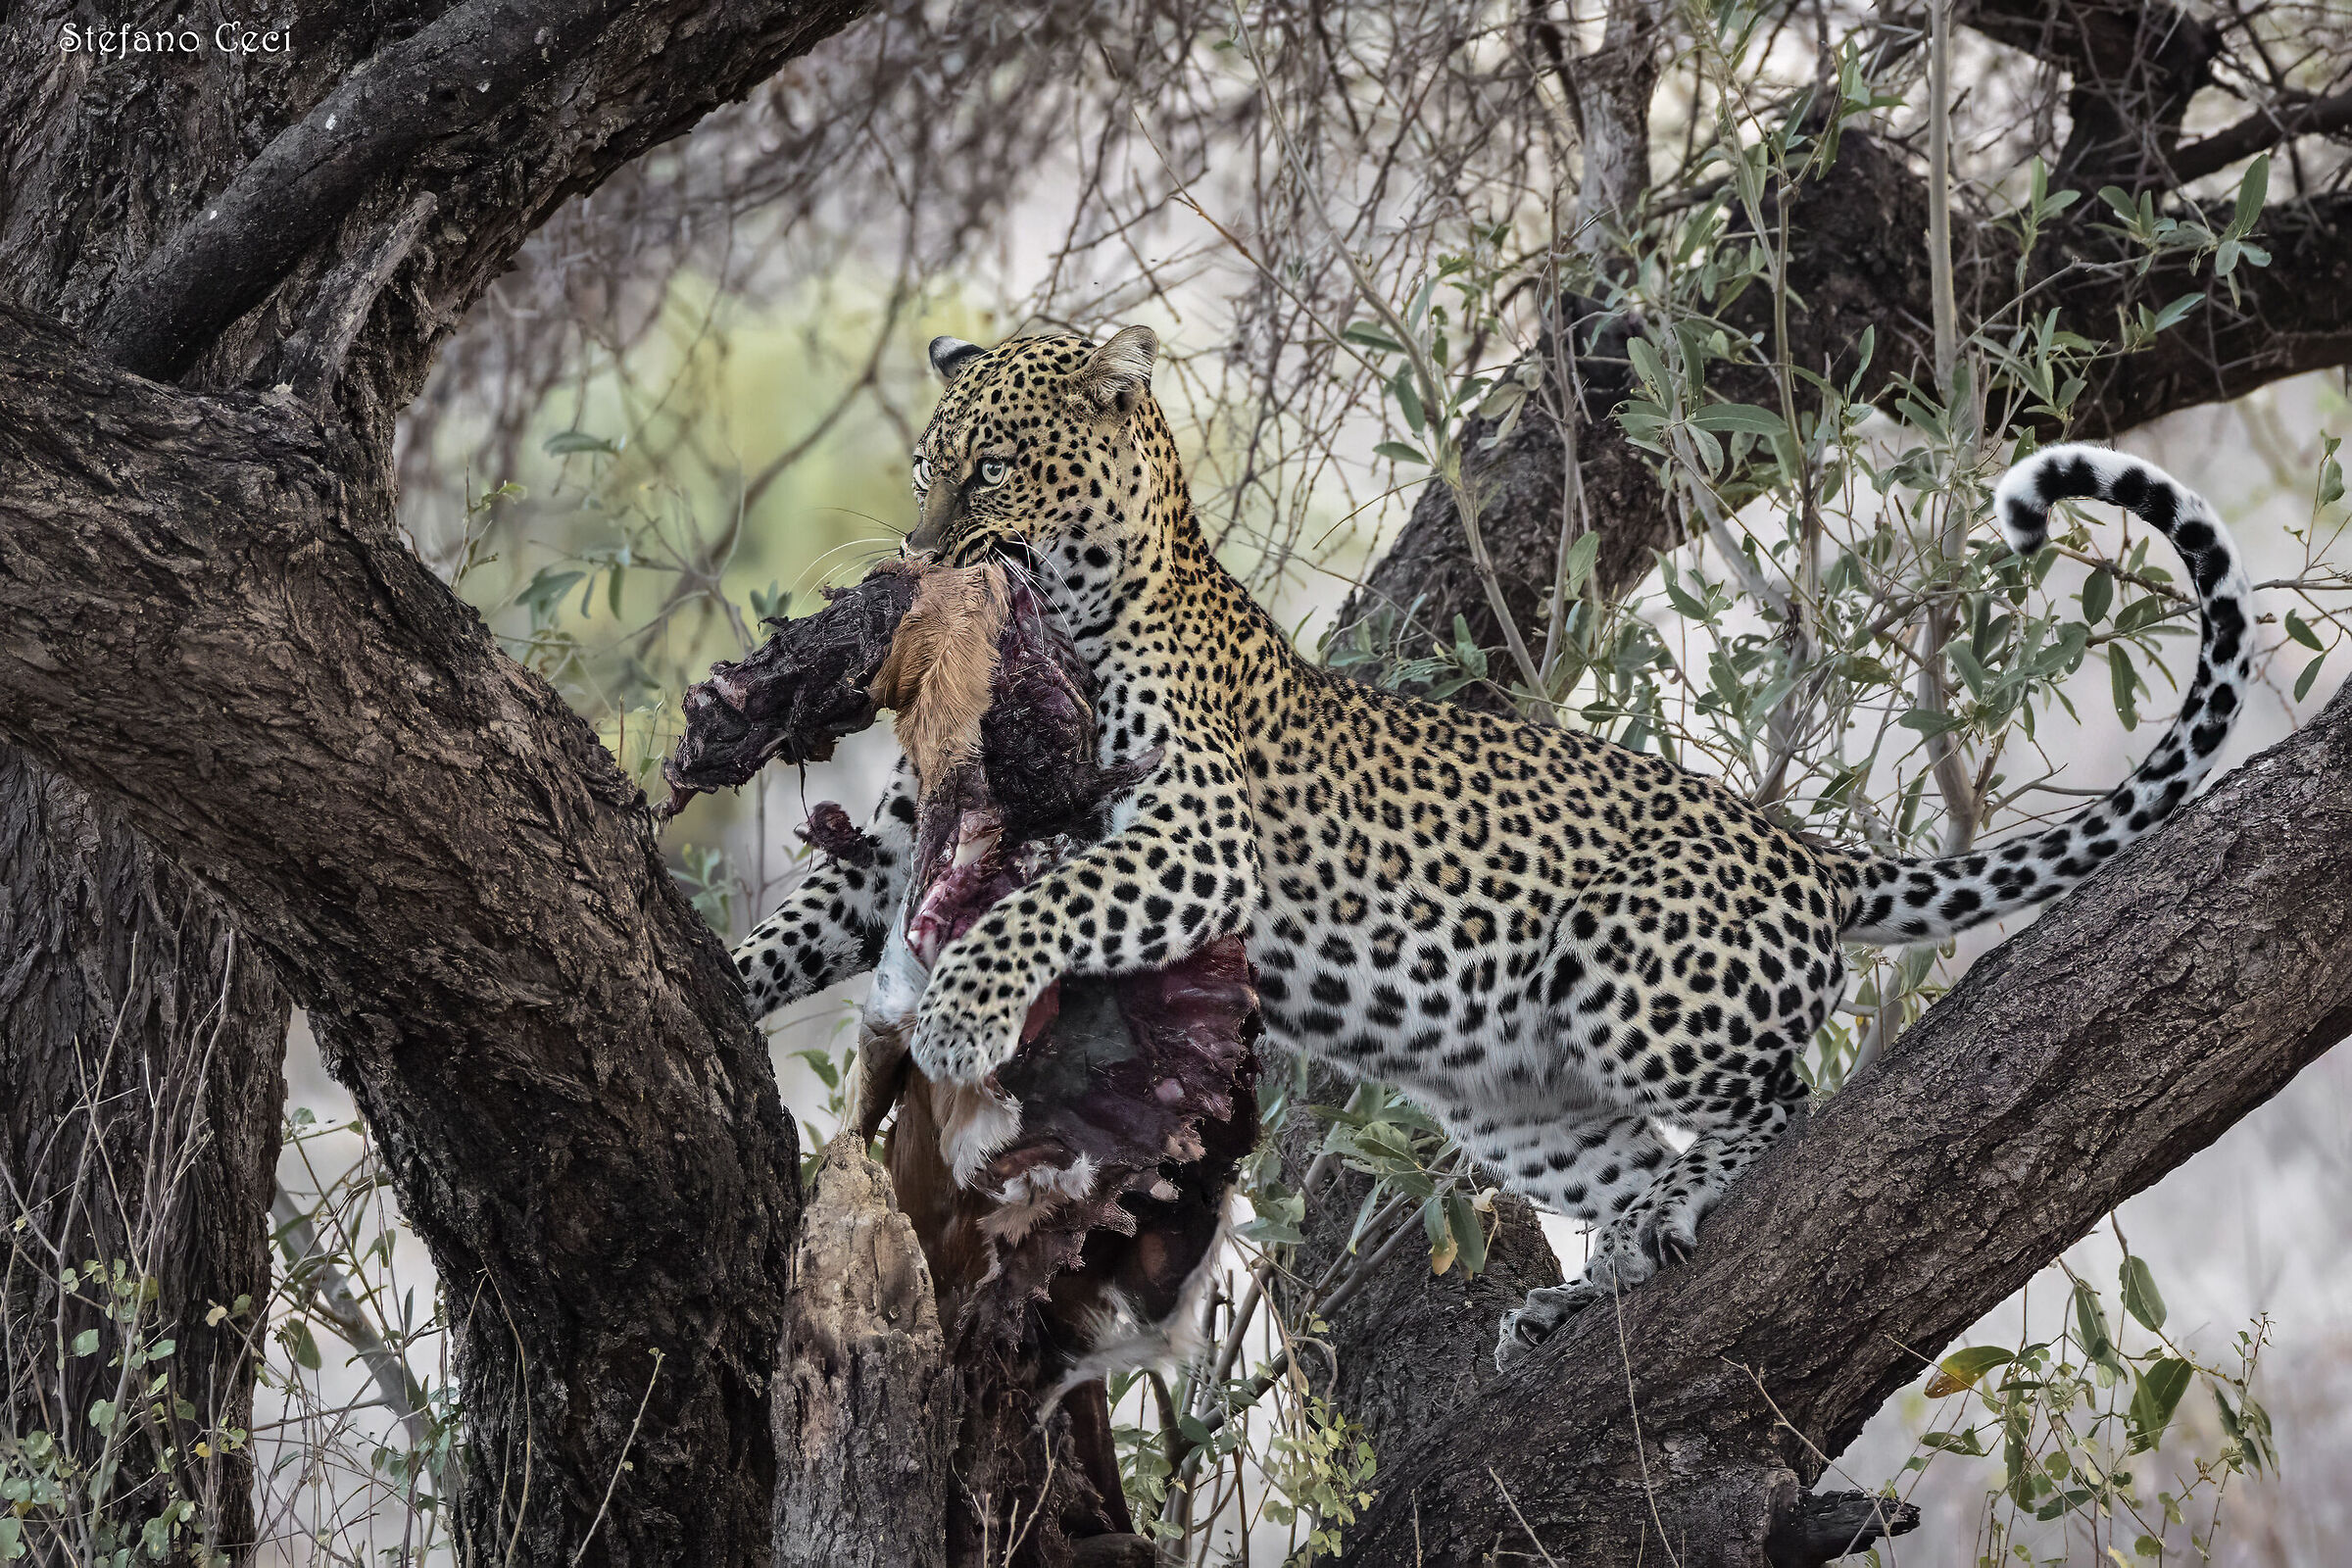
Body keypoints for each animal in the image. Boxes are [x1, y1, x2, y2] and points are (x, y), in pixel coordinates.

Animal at [732, 327, 2255, 1372]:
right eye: (925, 471)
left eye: (990, 466)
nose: (917, 561)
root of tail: (1816, 856)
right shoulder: (891, 853)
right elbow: (795, 930)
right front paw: (727, 982)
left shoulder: (1197, 837)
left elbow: (1043, 908)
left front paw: (964, 1013)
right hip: (1518, 1101)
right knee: (1634, 1163)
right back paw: (1589, 1285)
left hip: (1630, 968)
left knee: (1788, 1098)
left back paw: (1678, 1209)